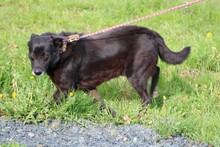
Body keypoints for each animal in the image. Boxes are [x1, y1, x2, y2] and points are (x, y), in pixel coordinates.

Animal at [27, 25, 189, 114]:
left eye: (46, 55)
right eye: (32, 56)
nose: (37, 72)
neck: (62, 52)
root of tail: (150, 33)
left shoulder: (63, 89)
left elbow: (49, 104)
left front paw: (37, 113)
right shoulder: (89, 88)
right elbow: (102, 104)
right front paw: (113, 114)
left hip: (135, 75)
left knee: (146, 98)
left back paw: (140, 114)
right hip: (142, 68)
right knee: (156, 70)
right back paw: (154, 90)